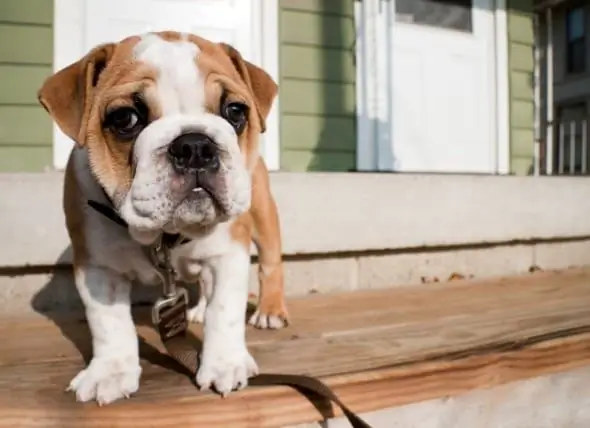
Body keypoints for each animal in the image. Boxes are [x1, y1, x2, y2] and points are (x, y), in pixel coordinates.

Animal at [35, 31, 290, 406]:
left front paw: (225, 364)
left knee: (270, 264)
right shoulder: (98, 267)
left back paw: (270, 311)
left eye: (235, 111)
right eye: (125, 118)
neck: (164, 234)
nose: (196, 145)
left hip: (262, 214)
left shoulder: (228, 253)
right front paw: (110, 372)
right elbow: (109, 323)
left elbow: (225, 310)